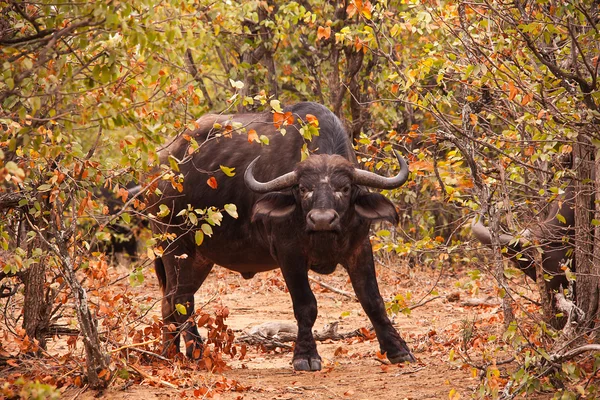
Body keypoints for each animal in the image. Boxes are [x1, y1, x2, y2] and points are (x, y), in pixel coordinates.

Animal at [149, 101, 418, 370]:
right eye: (303, 188)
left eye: (344, 188)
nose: (322, 219)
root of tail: (159, 174)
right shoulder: (289, 253)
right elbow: (306, 305)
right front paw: (305, 356)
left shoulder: (359, 247)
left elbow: (372, 300)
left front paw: (398, 350)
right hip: (175, 247)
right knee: (181, 300)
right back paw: (196, 352)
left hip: (200, 259)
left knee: (170, 301)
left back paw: (168, 353)